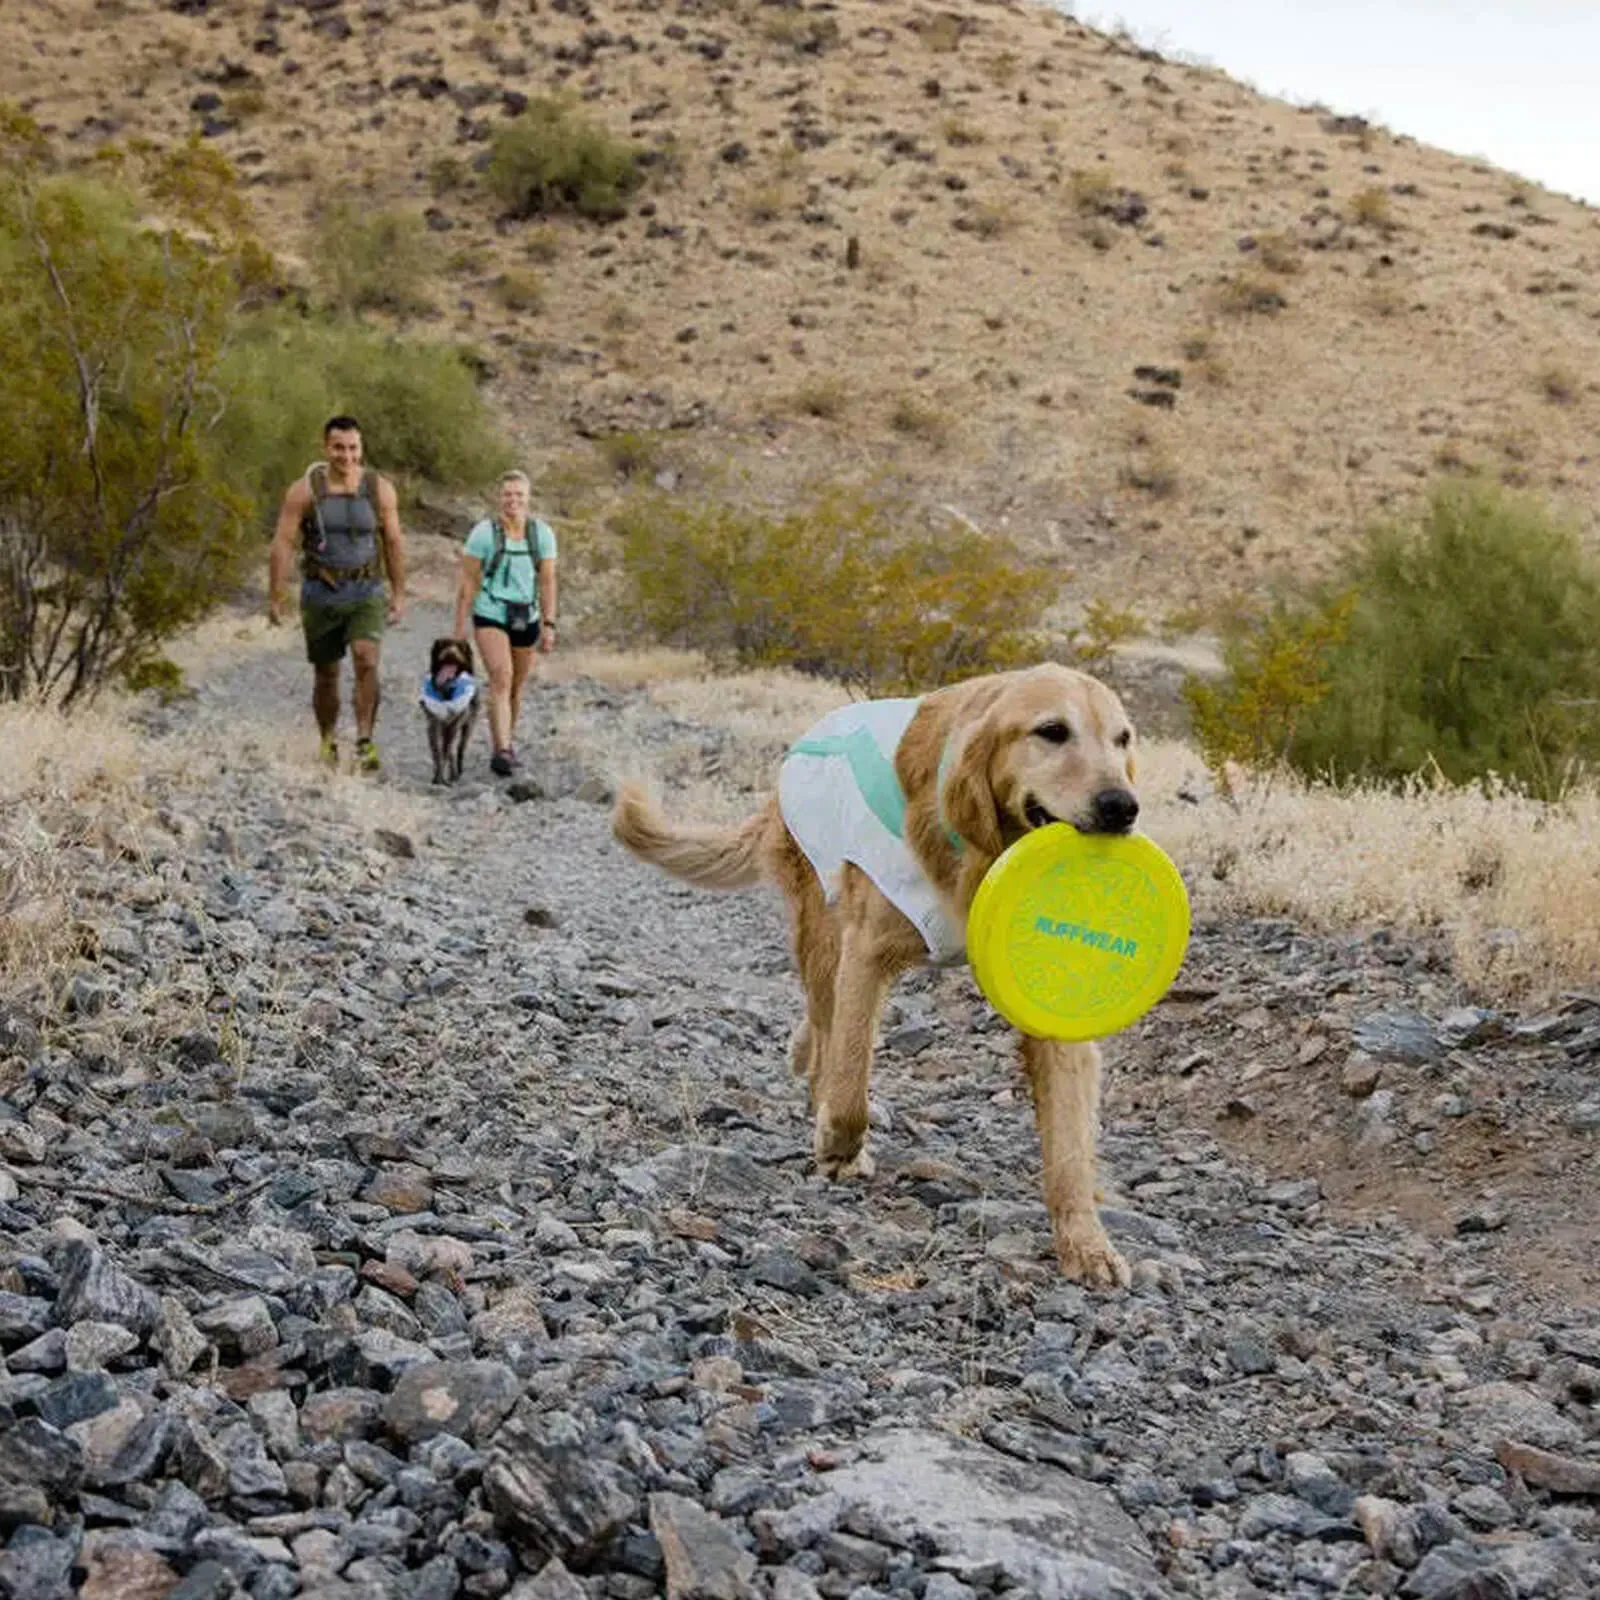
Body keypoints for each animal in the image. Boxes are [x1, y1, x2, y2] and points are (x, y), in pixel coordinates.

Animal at [422, 636, 476, 787]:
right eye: (443, 645)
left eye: (459, 647)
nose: (450, 652)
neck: (447, 688)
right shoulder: (433, 724)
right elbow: (437, 752)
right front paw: (437, 777)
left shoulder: (455, 724)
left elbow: (446, 750)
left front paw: (442, 778)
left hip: (467, 726)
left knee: (459, 749)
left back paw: (457, 772)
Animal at [608, 662, 1139, 1286]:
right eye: (1052, 731)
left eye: (1122, 739)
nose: (1122, 807)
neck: (981, 851)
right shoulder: (866, 951)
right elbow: (849, 1086)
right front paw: (840, 1148)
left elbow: (1070, 1141)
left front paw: (1086, 1241)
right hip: (822, 928)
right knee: (827, 1029)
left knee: (820, 1029)